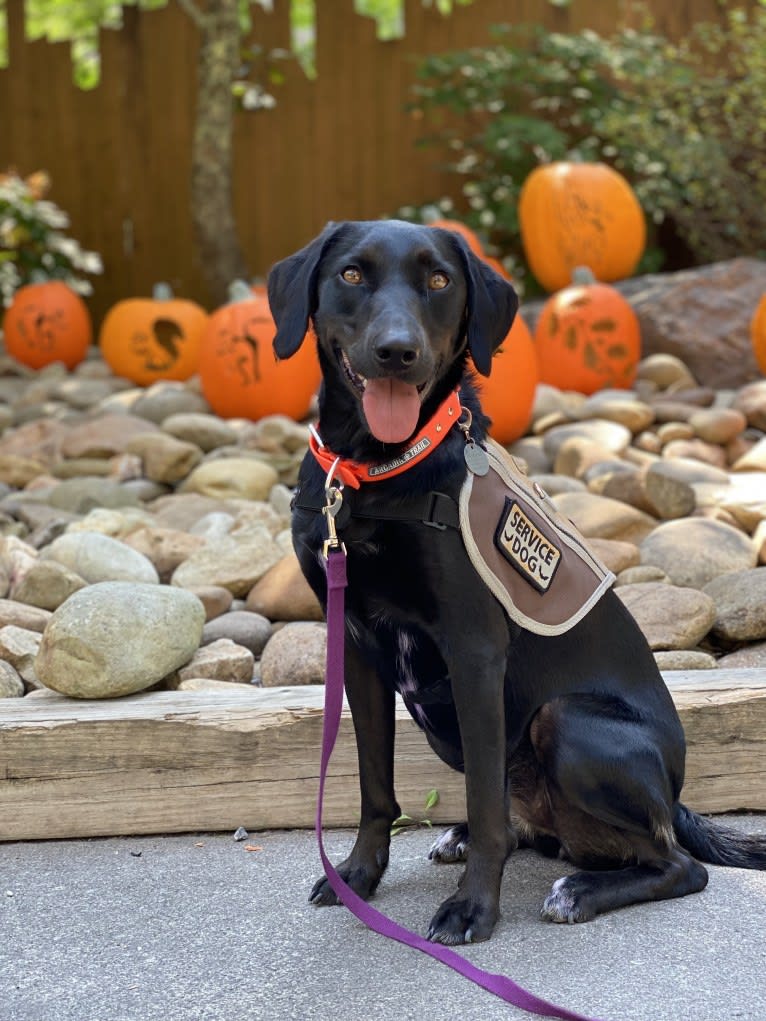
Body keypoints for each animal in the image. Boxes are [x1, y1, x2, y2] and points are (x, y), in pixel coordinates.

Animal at [267, 219, 763, 943]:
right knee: (544, 828)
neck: (374, 471)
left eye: (439, 279)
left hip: (565, 721)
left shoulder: (474, 651)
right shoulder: (355, 644)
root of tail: (674, 797)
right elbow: (373, 786)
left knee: (676, 863)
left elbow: (483, 804)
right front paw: (358, 875)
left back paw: (580, 890)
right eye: (352, 274)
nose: (397, 352)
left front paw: (473, 908)